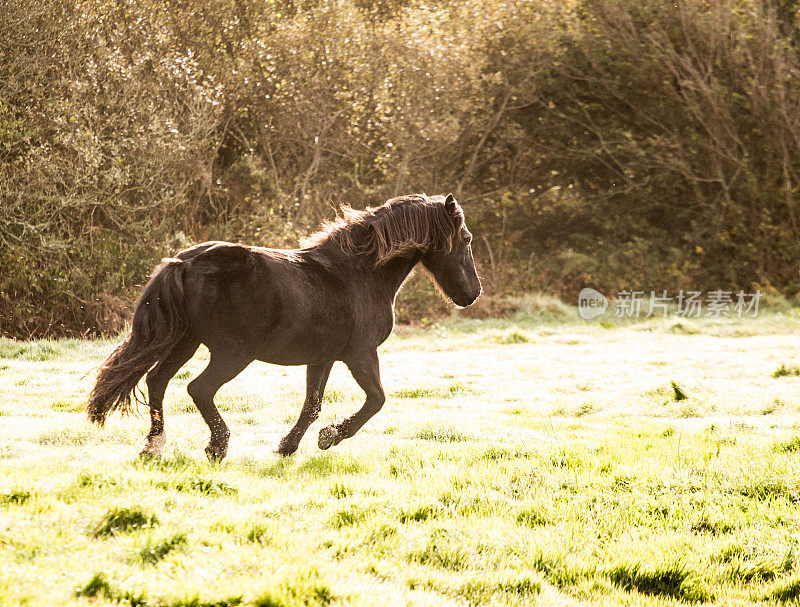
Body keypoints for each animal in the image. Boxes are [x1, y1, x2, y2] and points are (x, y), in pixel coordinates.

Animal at [90, 194, 484, 460]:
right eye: (465, 239)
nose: (472, 294)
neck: (358, 275)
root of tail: (183, 262)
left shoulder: (323, 358)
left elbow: (312, 405)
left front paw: (288, 446)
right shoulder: (360, 354)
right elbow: (376, 400)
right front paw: (330, 437)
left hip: (186, 341)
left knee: (157, 380)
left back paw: (154, 445)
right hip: (232, 353)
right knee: (198, 388)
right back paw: (217, 446)